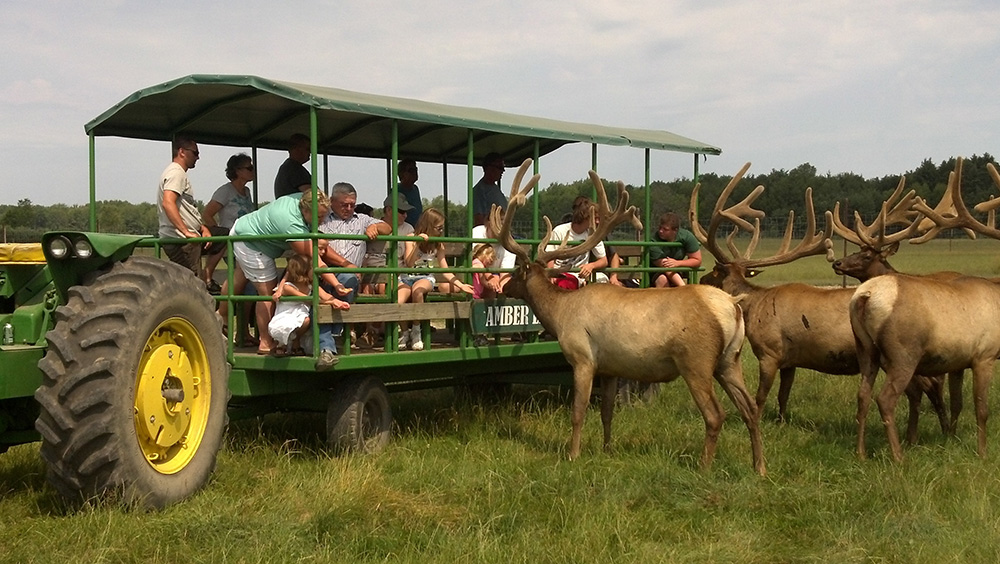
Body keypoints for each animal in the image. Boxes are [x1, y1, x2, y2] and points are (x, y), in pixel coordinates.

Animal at [492, 159, 764, 476]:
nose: (503, 286)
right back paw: (759, 467)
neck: (560, 314)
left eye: (515, 272)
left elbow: (578, 412)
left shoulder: (583, 357)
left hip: (696, 360)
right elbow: (607, 412)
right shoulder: (611, 367)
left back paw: (704, 466)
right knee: (750, 408)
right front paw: (607, 449)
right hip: (730, 359)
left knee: (715, 414)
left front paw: (573, 455)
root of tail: (732, 305)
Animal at [692, 163, 948, 440]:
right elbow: (783, 396)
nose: (702, 278)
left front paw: (757, 423)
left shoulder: (769, 352)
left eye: (715, 271)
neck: (754, 308)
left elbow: (760, 398)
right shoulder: (789, 360)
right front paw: (781, 422)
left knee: (927, 387)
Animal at [848, 156, 1000, 460]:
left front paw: (950, 438)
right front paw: (982, 454)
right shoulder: (984, 354)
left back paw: (861, 453)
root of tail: (865, 295)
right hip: (903, 351)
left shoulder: (958, 361)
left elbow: (957, 403)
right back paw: (898, 457)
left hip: (865, 348)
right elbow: (982, 409)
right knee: (886, 398)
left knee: (863, 395)